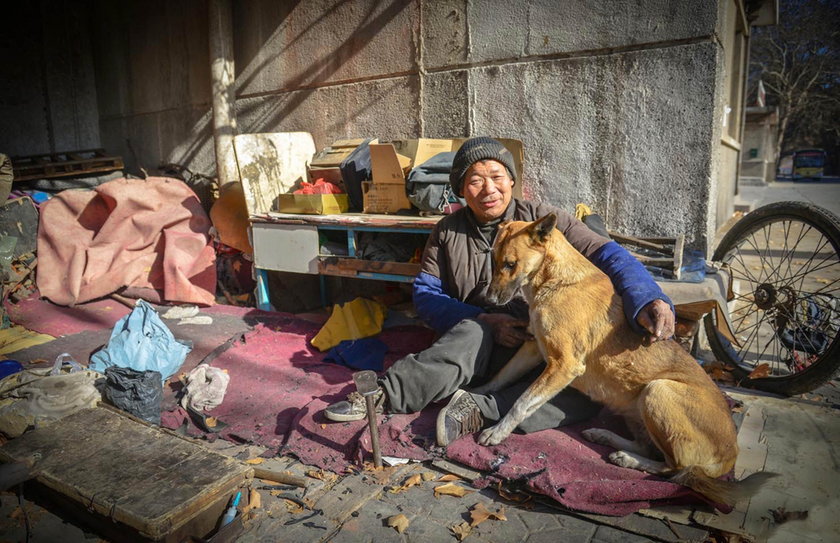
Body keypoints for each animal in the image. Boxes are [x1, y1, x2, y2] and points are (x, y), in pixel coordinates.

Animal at [472, 212, 776, 506]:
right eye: (494, 261)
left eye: (510, 264)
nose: (488, 299)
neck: (554, 279)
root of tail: (730, 454)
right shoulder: (533, 348)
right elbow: (499, 378)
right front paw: (475, 392)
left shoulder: (563, 365)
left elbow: (521, 403)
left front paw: (497, 432)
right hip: (637, 408)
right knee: (650, 448)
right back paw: (606, 438)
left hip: (658, 390)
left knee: (675, 470)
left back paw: (629, 459)